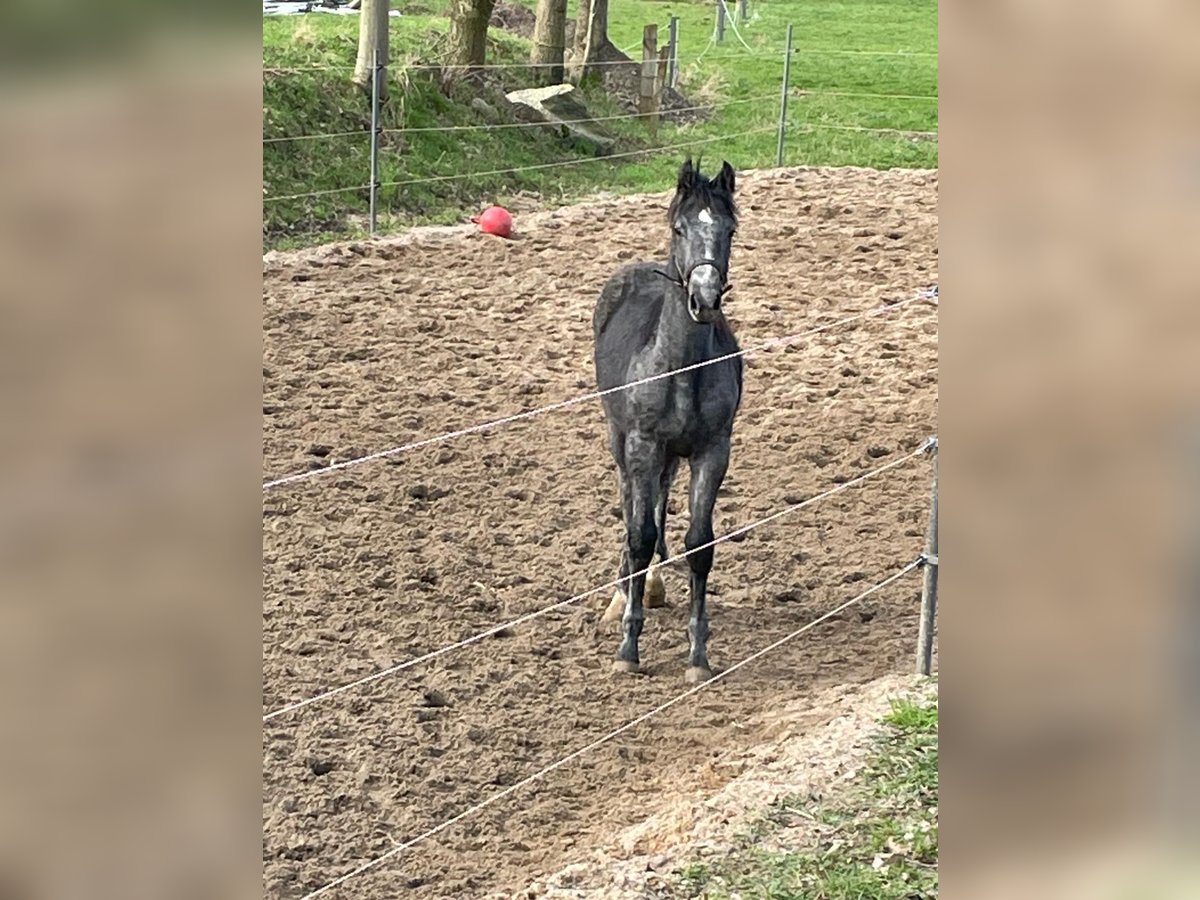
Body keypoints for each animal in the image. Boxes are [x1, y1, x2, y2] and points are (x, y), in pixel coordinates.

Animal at [590, 160, 739, 681]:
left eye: (730, 230)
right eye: (680, 227)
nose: (705, 299)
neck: (681, 369)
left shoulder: (712, 451)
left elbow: (699, 542)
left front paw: (698, 656)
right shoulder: (642, 444)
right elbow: (638, 535)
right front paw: (628, 649)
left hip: (671, 456)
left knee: (659, 502)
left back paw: (652, 584)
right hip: (622, 442)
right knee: (631, 503)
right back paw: (622, 591)